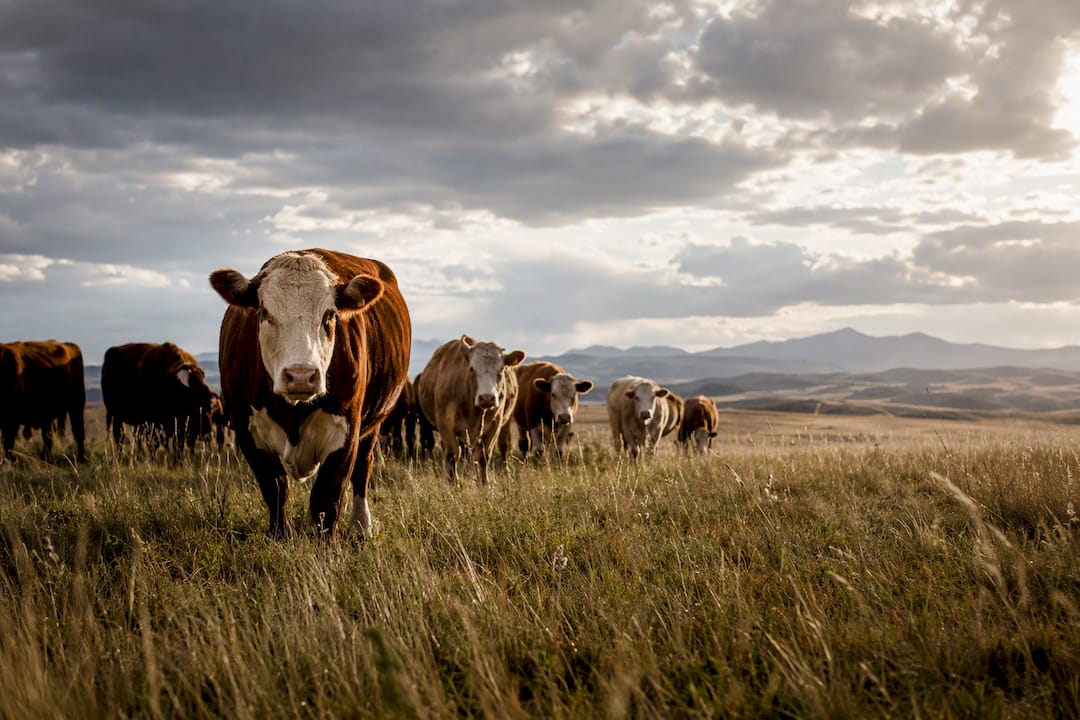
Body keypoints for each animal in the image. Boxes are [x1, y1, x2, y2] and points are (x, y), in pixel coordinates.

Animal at [210, 249, 410, 538]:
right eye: (264, 312)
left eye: (330, 314)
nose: (301, 375)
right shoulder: (246, 430)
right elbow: (275, 488)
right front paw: (280, 536)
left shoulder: (346, 432)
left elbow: (327, 499)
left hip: (374, 423)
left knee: (363, 468)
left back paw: (361, 525)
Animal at [415, 336, 524, 484]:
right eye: (472, 368)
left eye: (501, 369)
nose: (487, 397)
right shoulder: (445, 424)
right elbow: (452, 454)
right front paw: (453, 483)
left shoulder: (494, 425)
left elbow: (483, 456)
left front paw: (484, 483)